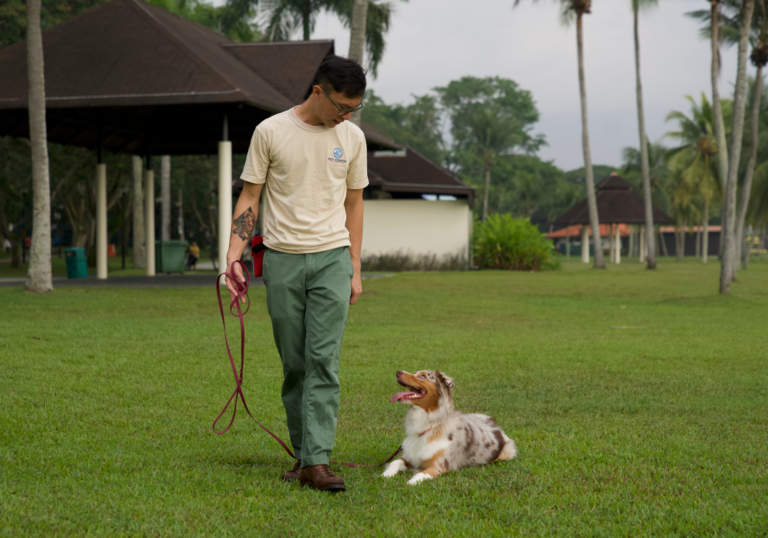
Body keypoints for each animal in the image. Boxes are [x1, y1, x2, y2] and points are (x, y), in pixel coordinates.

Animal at [382, 366, 516, 484]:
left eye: (422, 376)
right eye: (415, 373)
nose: (398, 372)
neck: (428, 425)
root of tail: (495, 424)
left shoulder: (440, 465)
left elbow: (421, 474)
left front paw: (411, 482)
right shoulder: (409, 458)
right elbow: (395, 462)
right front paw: (386, 474)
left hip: (507, 452)